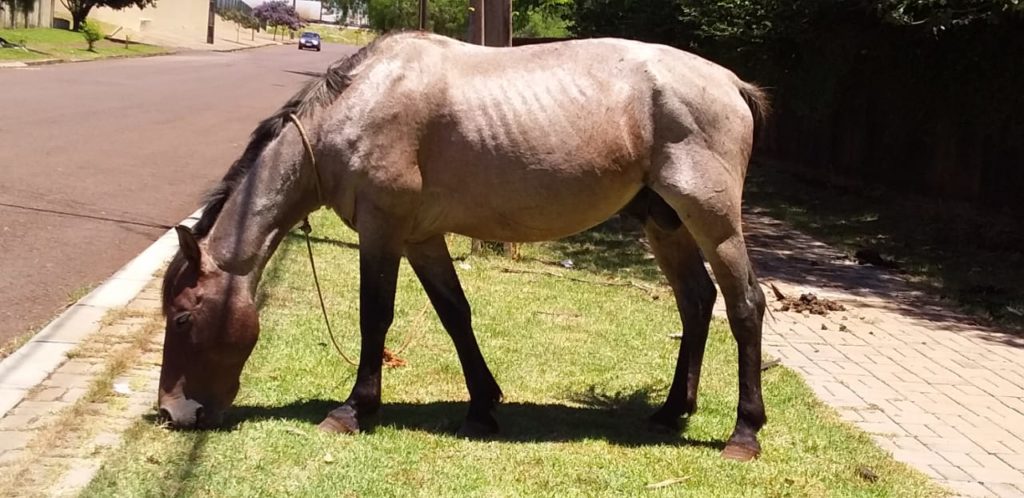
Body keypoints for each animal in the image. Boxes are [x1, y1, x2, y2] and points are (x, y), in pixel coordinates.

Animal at [159, 31, 770, 461]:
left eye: (184, 317)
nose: (170, 412)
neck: (361, 103)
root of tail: (731, 83)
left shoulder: (382, 230)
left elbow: (374, 316)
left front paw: (354, 410)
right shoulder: (421, 238)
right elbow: (456, 314)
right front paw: (482, 406)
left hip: (712, 220)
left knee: (745, 305)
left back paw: (744, 432)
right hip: (666, 223)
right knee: (696, 302)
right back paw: (671, 411)